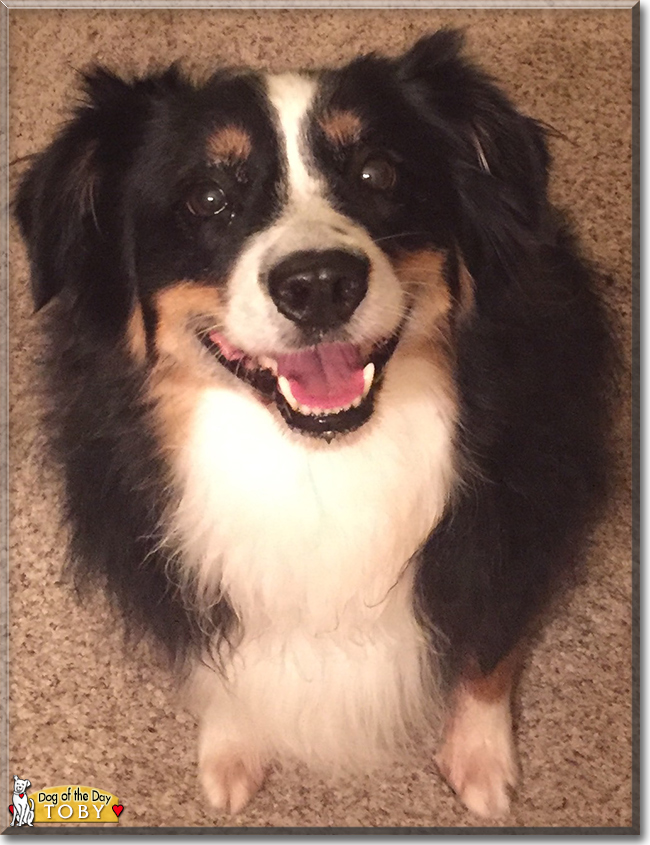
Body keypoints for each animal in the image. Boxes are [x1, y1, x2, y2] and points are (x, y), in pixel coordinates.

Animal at [16, 31, 612, 816]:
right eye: (208, 197)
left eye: (378, 170)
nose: (321, 283)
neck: (320, 464)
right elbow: (218, 655)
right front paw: (234, 743)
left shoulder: (514, 524)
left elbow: (489, 647)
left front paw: (480, 759)